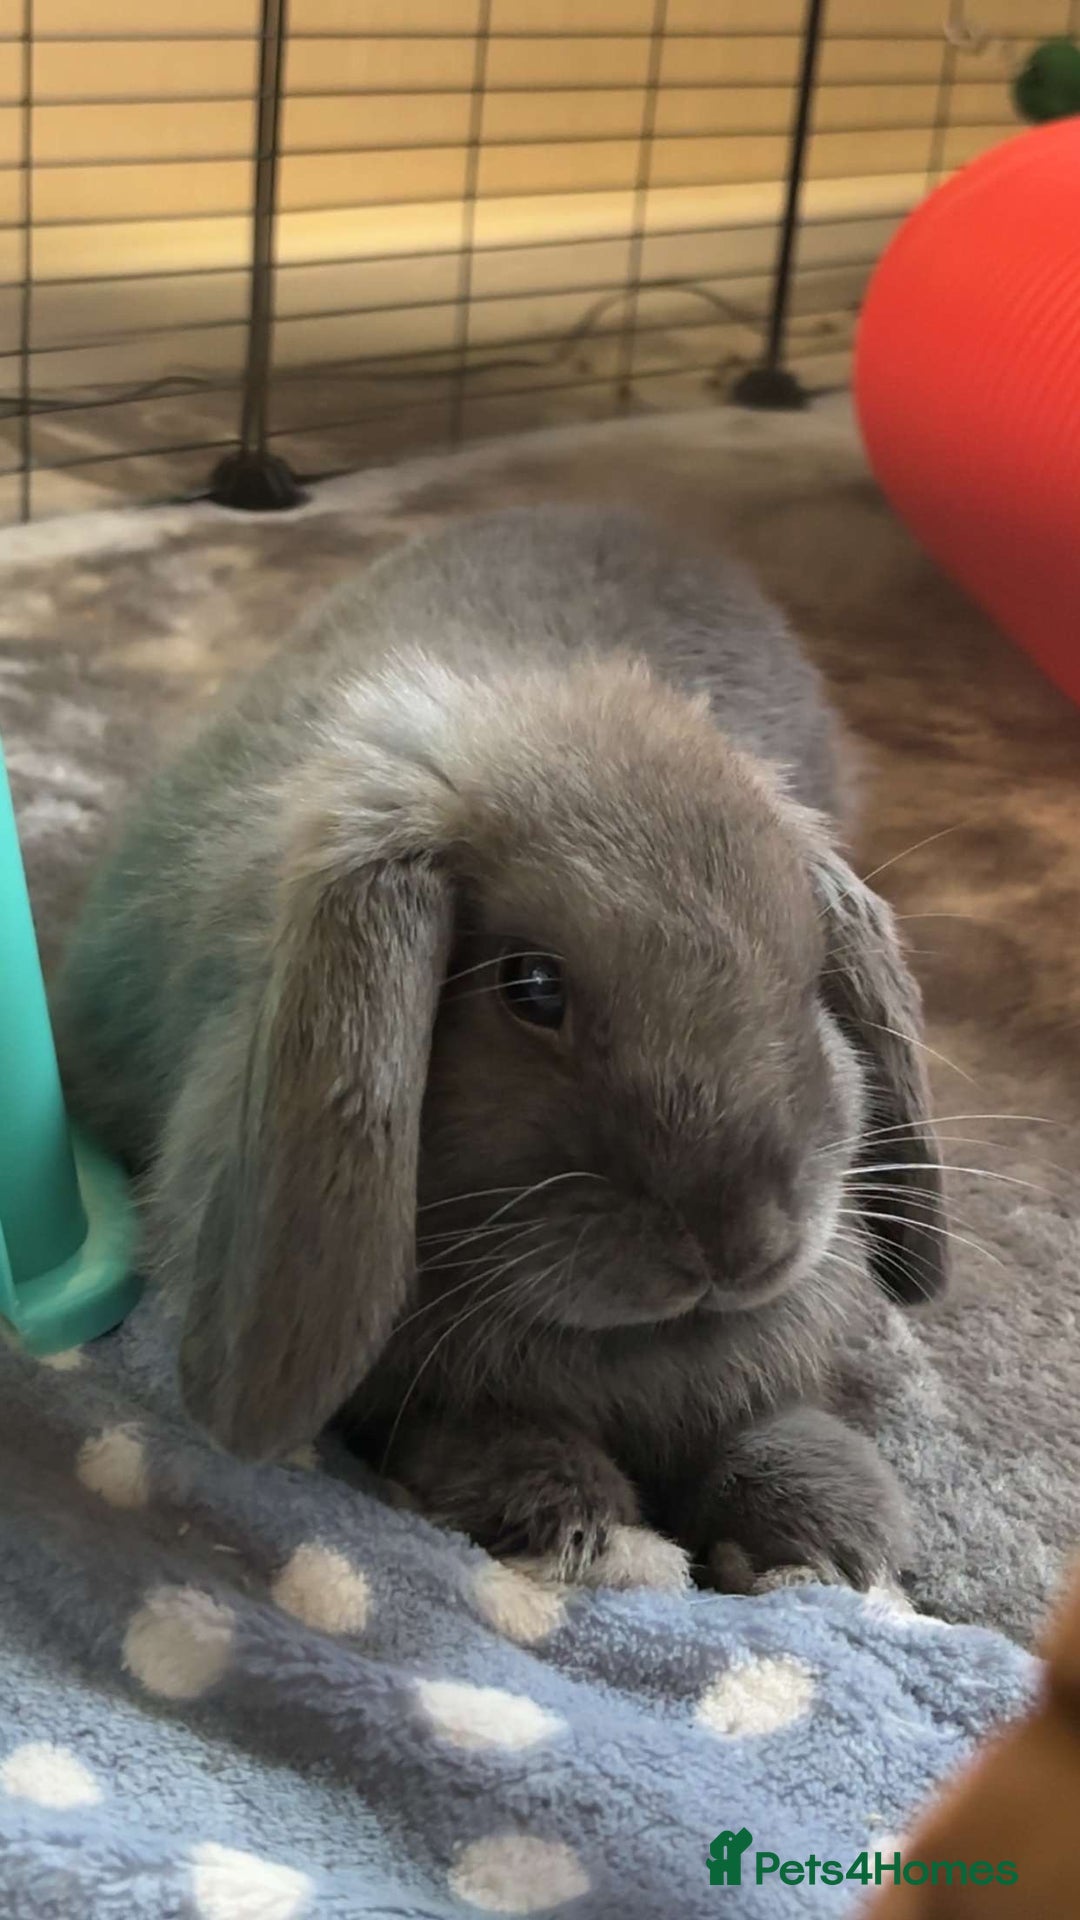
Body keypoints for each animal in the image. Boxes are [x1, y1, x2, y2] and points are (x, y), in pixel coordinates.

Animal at [54, 504, 947, 1592]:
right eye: (531, 987)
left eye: (812, 973)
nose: (747, 1245)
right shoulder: (419, 1398)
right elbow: (483, 1437)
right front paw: (593, 1537)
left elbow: (776, 1427)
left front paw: (819, 1535)